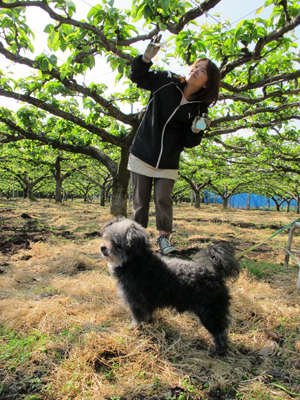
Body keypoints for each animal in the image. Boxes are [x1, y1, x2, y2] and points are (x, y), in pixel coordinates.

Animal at [99, 219, 240, 356]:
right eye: (106, 237)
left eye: (115, 242)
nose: (102, 247)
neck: (136, 262)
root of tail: (213, 272)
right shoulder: (146, 303)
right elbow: (147, 316)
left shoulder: (136, 301)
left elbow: (138, 318)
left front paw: (135, 329)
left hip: (210, 311)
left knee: (219, 332)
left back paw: (218, 351)